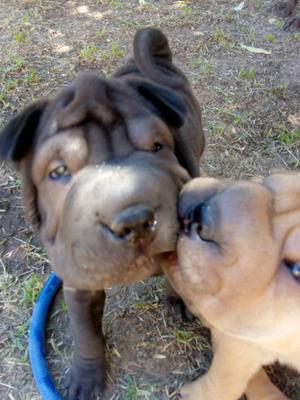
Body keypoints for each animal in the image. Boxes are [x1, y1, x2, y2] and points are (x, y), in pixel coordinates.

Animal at [0, 28, 204, 400]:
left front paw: (179, 300)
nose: (135, 220)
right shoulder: (77, 281)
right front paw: (84, 379)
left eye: (157, 147)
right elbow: (86, 332)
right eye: (58, 172)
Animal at [164, 173, 300, 400]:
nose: (201, 214)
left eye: (298, 269)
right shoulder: (242, 341)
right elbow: (227, 378)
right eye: (271, 182)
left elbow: (226, 378)